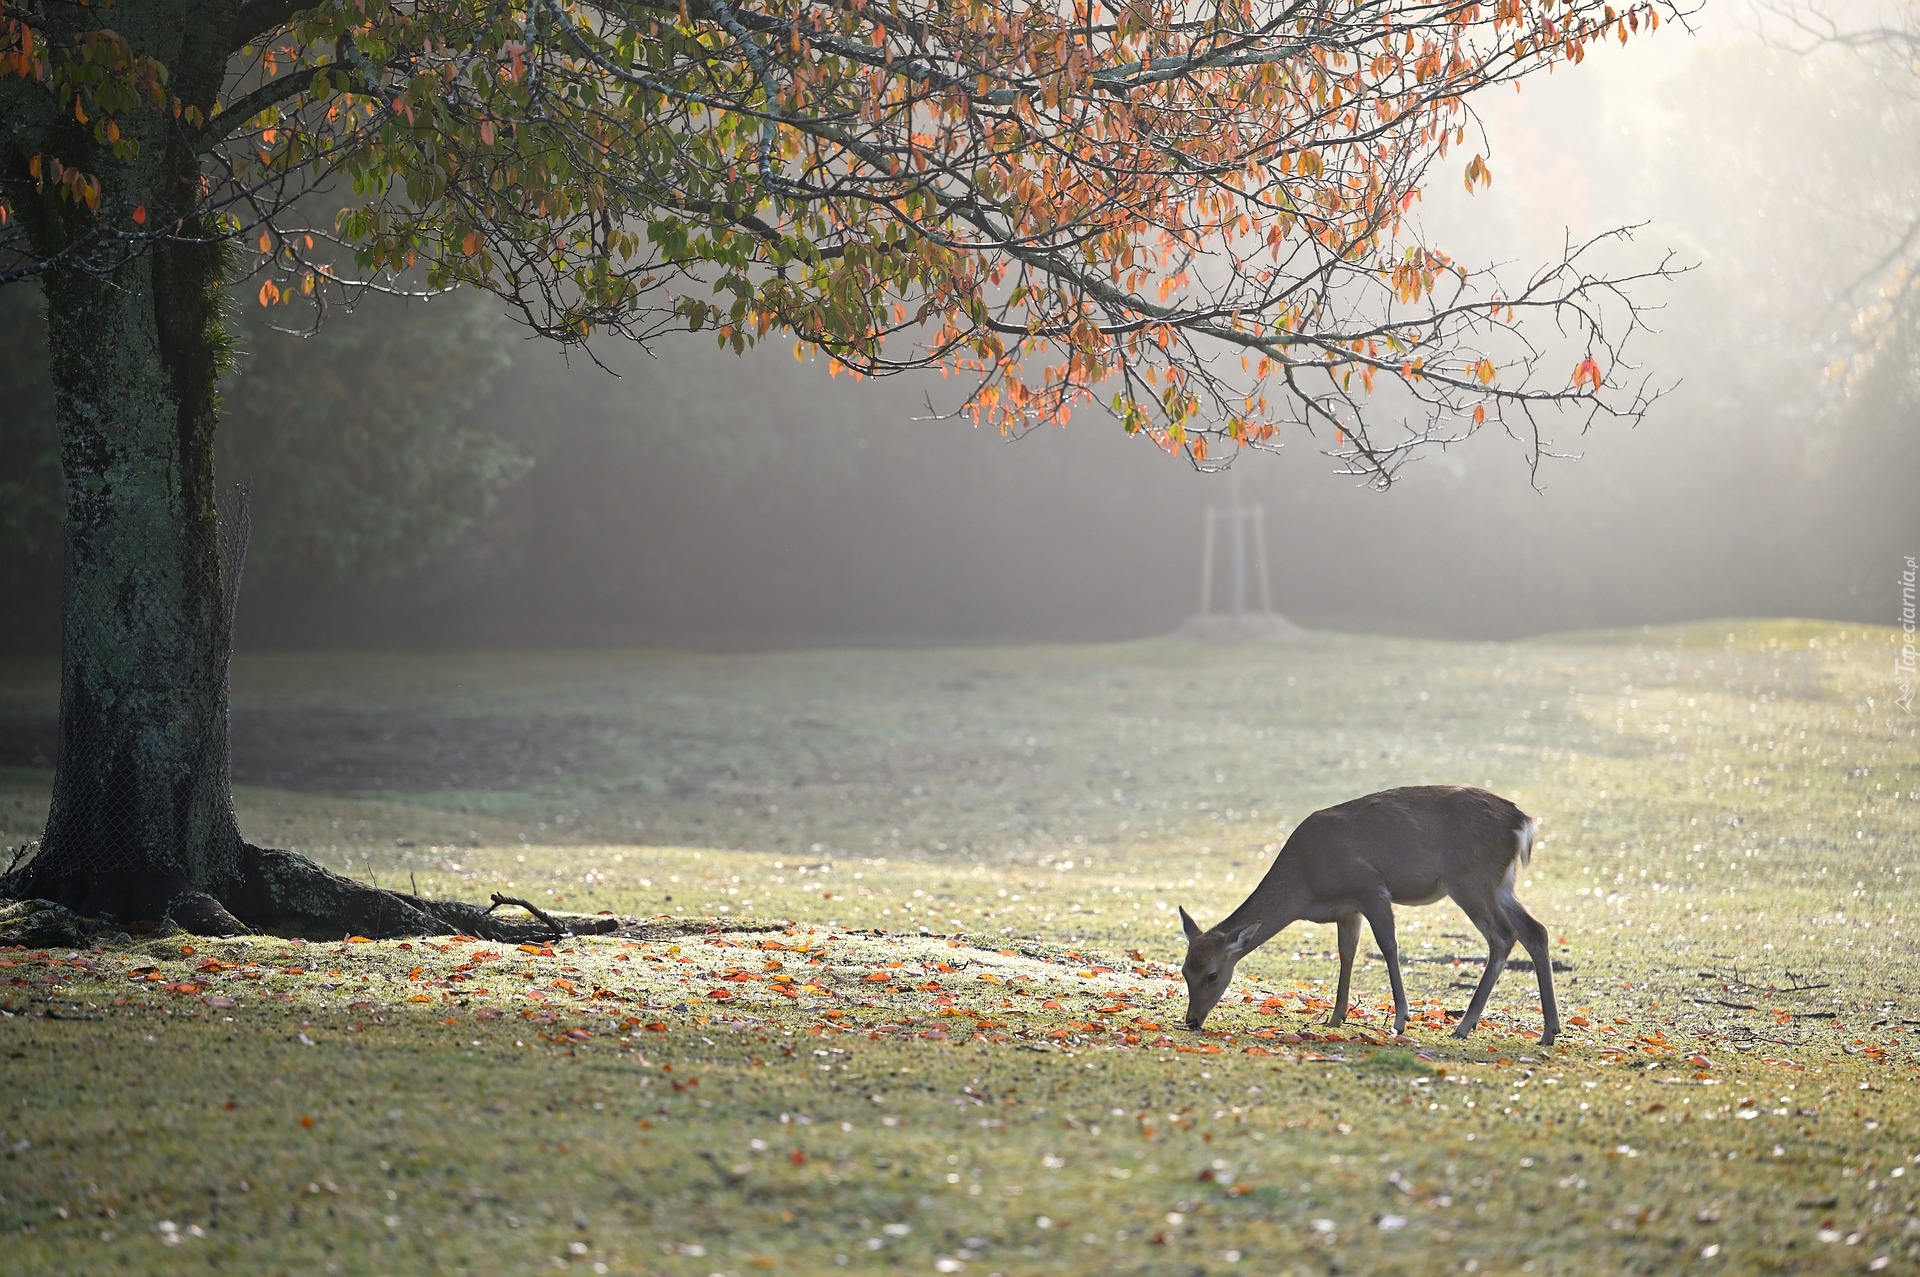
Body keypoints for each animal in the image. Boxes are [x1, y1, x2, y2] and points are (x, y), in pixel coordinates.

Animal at [1167, 787, 1559, 1044]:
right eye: (1184, 970)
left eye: (1213, 975)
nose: (1192, 1020)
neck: (1305, 883)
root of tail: (1523, 823)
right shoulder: (1347, 908)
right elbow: (1347, 953)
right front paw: (1335, 1017)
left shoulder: (1371, 887)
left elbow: (1387, 947)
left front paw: (1400, 1019)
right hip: (1501, 884)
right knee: (1535, 930)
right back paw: (1548, 1031)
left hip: (1471, 880)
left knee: (1503, 936)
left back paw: (1464, 1026)